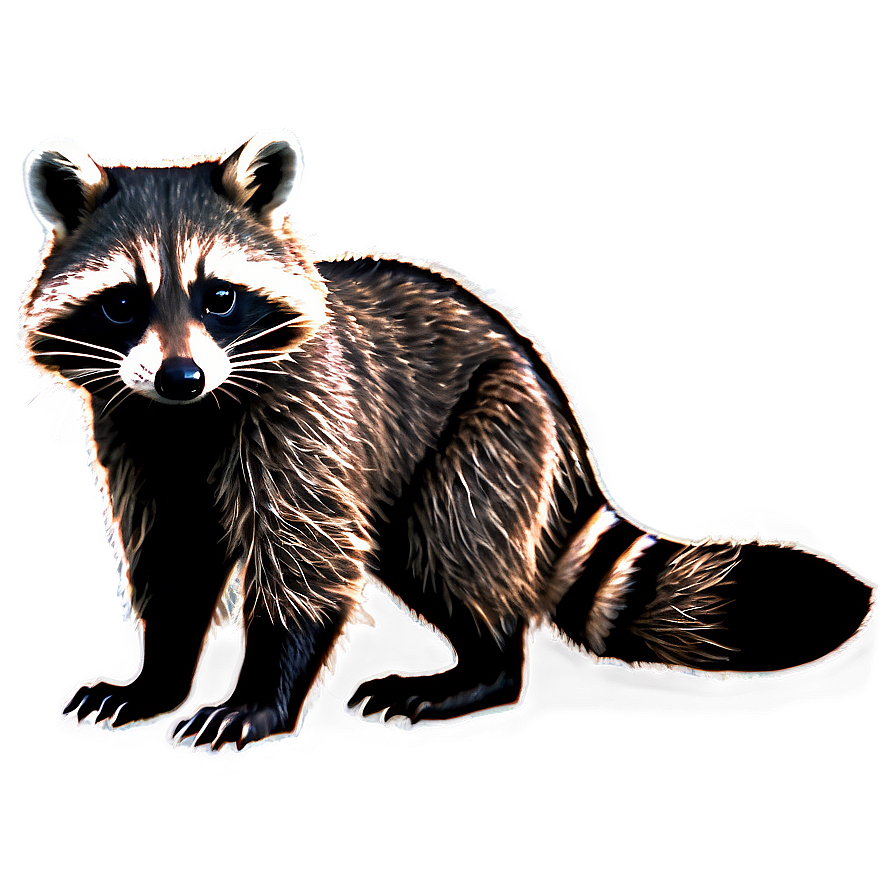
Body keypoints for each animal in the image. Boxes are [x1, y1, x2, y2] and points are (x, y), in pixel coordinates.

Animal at [21, 130, 873, 751]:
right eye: (122, 304)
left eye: (219, 297)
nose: (181, 376)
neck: (190, 419)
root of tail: (552, 395)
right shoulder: (135, 430)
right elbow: (173, 557)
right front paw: (158, 676)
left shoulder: (307, 413)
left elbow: (306, 561)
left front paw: (262, 693)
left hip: (492, 429)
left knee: (456, 539)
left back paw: (487, 667)